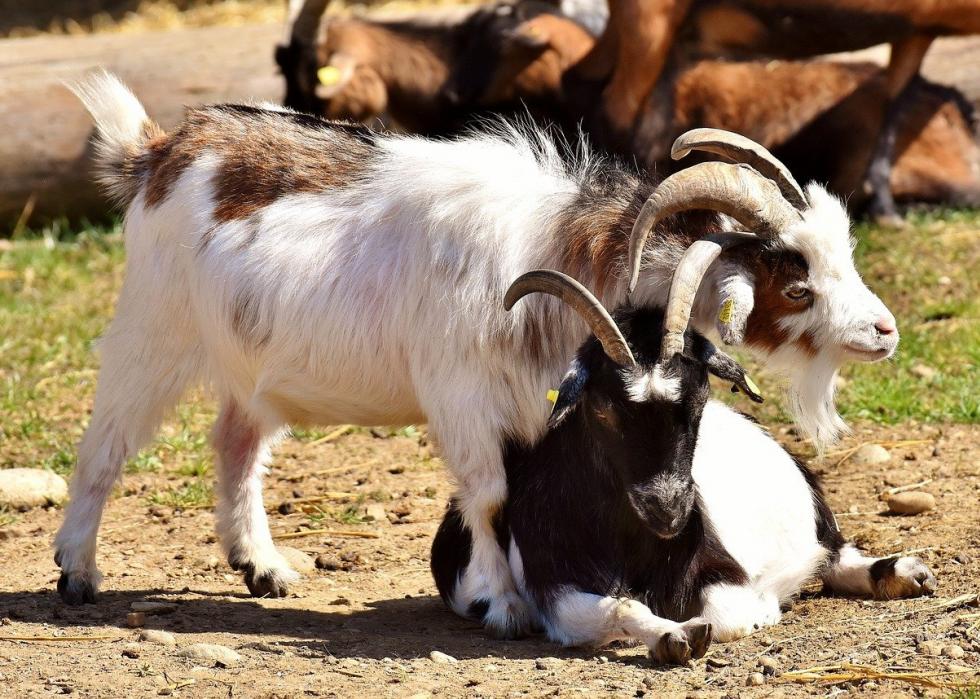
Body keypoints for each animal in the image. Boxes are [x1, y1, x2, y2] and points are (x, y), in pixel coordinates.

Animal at [55, 75, 896, 640]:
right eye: (795, 279)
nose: (885, 331)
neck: (559, 253)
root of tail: (159, 152)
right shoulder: (462, 394)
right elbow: (490, 497)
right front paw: (505, 604)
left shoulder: (538, 405)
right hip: (155, 328)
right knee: (104, 443)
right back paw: (77, 571)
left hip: (251, 363)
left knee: (236, 441)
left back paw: (263, 566)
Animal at [434, 270, 936, 660]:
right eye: (603, 408)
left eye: (699, 397)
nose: (670, 509)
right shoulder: (554, 585)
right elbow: (620, 607)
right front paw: (672, 636)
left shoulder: (720, 570)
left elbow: (731, 614)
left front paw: (763, 609)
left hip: (815, 511)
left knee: (835, 553)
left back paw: (904, 572)